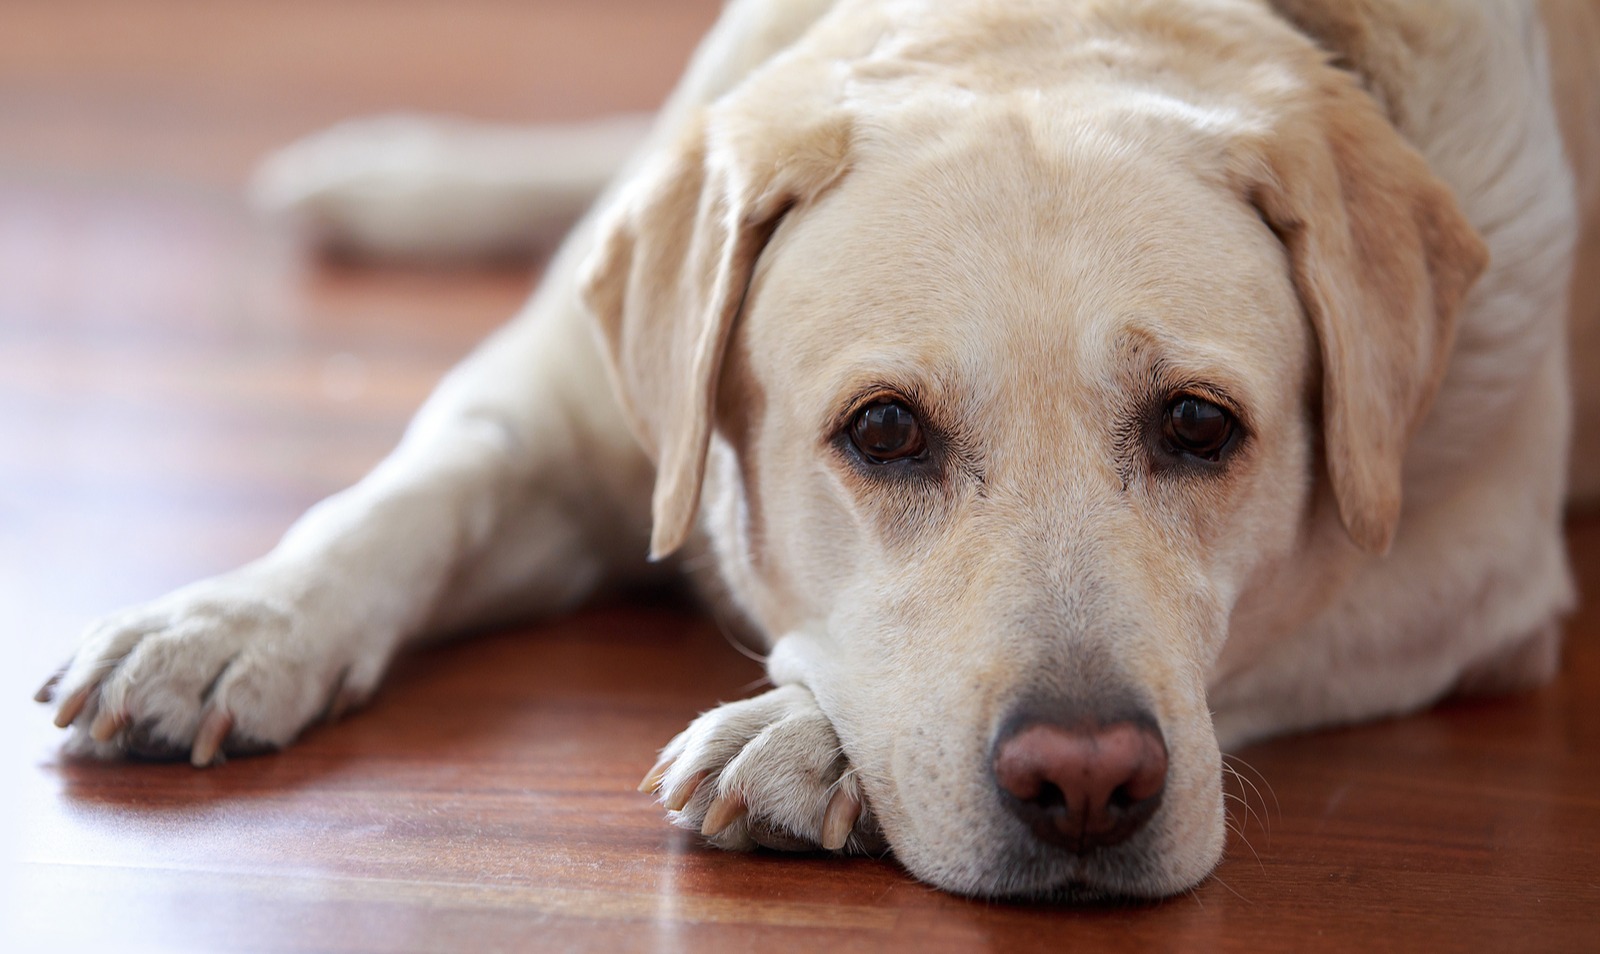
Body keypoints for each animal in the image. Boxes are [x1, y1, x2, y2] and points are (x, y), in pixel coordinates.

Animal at [37, 0, 1600, 896]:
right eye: (886, 431)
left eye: (1199, 427)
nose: (1087, 785)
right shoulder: (552, 421)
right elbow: (401, 502)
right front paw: (228, 625)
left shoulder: (1470, 575)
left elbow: (1270, 638)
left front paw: (803, 735)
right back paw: (401, 177)